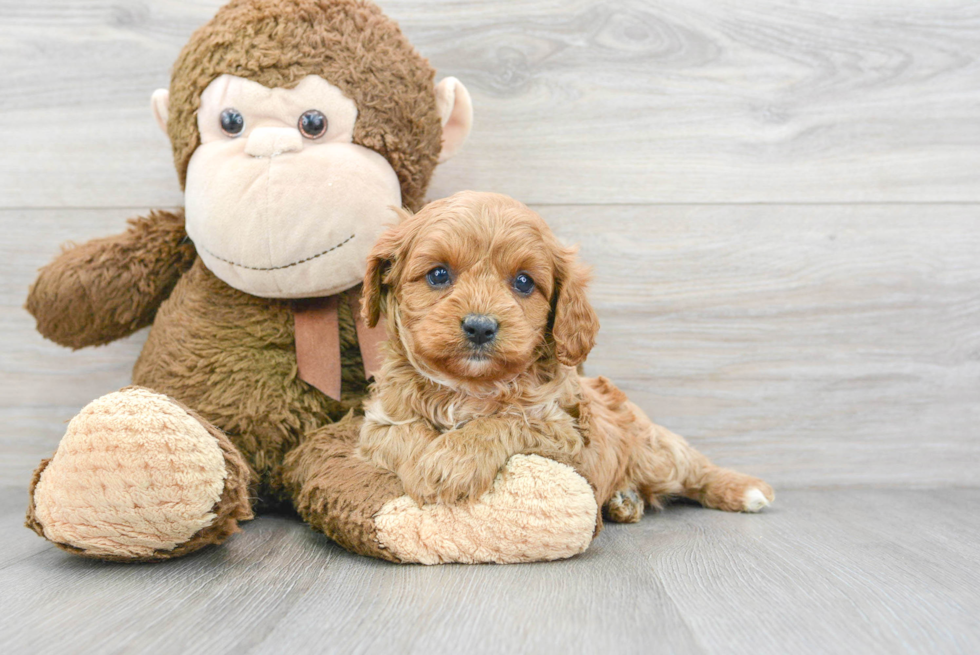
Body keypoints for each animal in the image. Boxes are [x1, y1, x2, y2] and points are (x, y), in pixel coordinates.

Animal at [358, 191, 772, 524]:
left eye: (524, 282)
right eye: (438, 275)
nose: (480, 327)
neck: (469, 387)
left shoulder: (563, 430)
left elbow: (503, 421)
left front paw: (449, 462)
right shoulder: (378, 423)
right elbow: (405, 433)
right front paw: (426, 464)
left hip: (655, 451)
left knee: (693, 468)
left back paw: (745, 490)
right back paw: (625, 499)